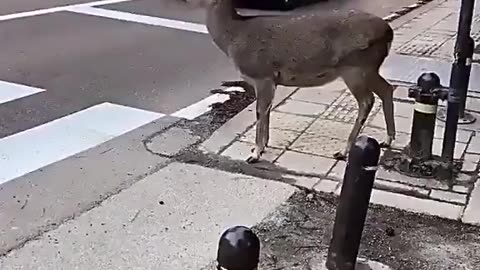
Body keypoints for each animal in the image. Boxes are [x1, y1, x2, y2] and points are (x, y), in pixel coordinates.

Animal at [201, 0, 396, 163]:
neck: (234, 38)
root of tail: (389, 32)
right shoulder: (271, 80)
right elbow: (267, 110)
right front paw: (263, 146)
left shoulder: (262, 75)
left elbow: (259, 111)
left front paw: (255, 153)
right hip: (369, 68)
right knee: (387, 89)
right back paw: (387, 140)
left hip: (355, 67)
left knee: (367, 100)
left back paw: (343, 151)